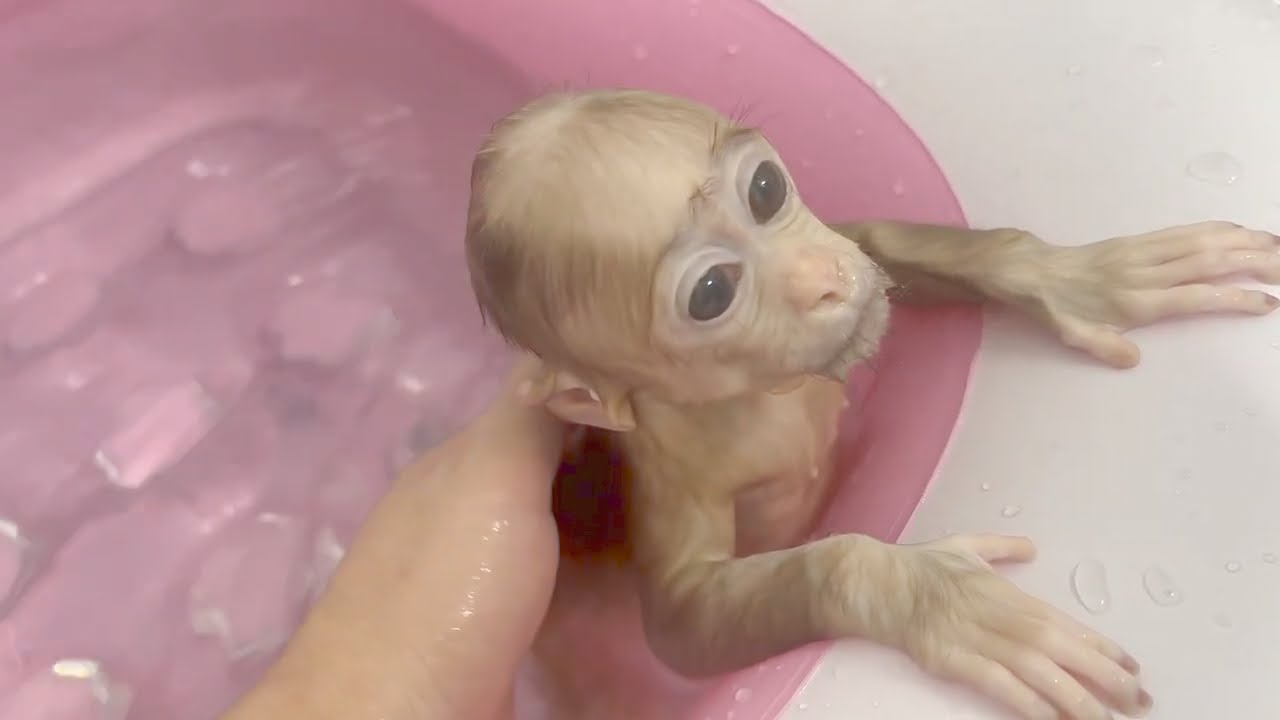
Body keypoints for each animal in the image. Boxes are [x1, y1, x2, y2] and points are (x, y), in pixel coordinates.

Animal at [464, 88, 1280, 720]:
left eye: (766, 190)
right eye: (711, 293)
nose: (821, 280)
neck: (764, 395)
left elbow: (874, 240)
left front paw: (1069, 275)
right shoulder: (673, 478)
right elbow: (683, 618)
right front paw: (923, 593)